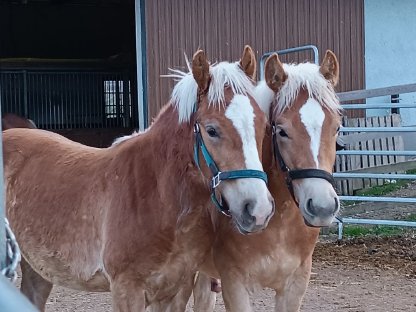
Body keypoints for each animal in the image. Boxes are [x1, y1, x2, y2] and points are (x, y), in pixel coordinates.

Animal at [3, 47, 278, 312]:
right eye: (212, 130)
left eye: (263, 126)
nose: (258, 210)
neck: (156, 194)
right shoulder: (127, 289)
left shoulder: (175, 290)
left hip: (36, 268)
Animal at [192, 50, 342, 310]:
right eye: (281, 131)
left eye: (336, 128)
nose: (322, 207)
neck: (279, 226)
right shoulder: (235, 285)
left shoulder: (295, 285)